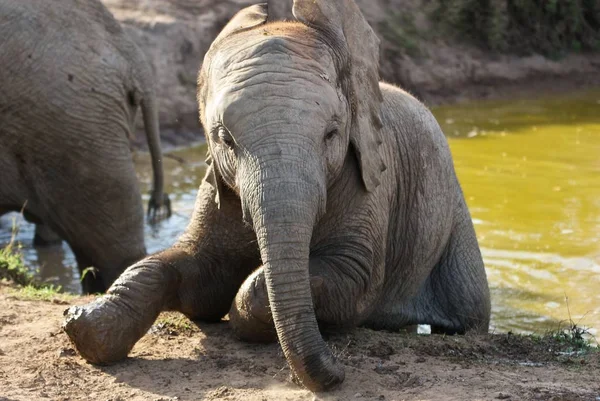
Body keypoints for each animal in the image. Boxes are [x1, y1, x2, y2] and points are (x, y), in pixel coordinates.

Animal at [63, 0, 490, 390]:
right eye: (225, 139)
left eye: (332, 134)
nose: (339, 371)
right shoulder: (214, 185)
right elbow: (194, 277)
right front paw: (84, 325)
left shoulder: (370, 184)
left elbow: (354, 279)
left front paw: (241, 317)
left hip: (452, 211)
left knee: (471, 312)